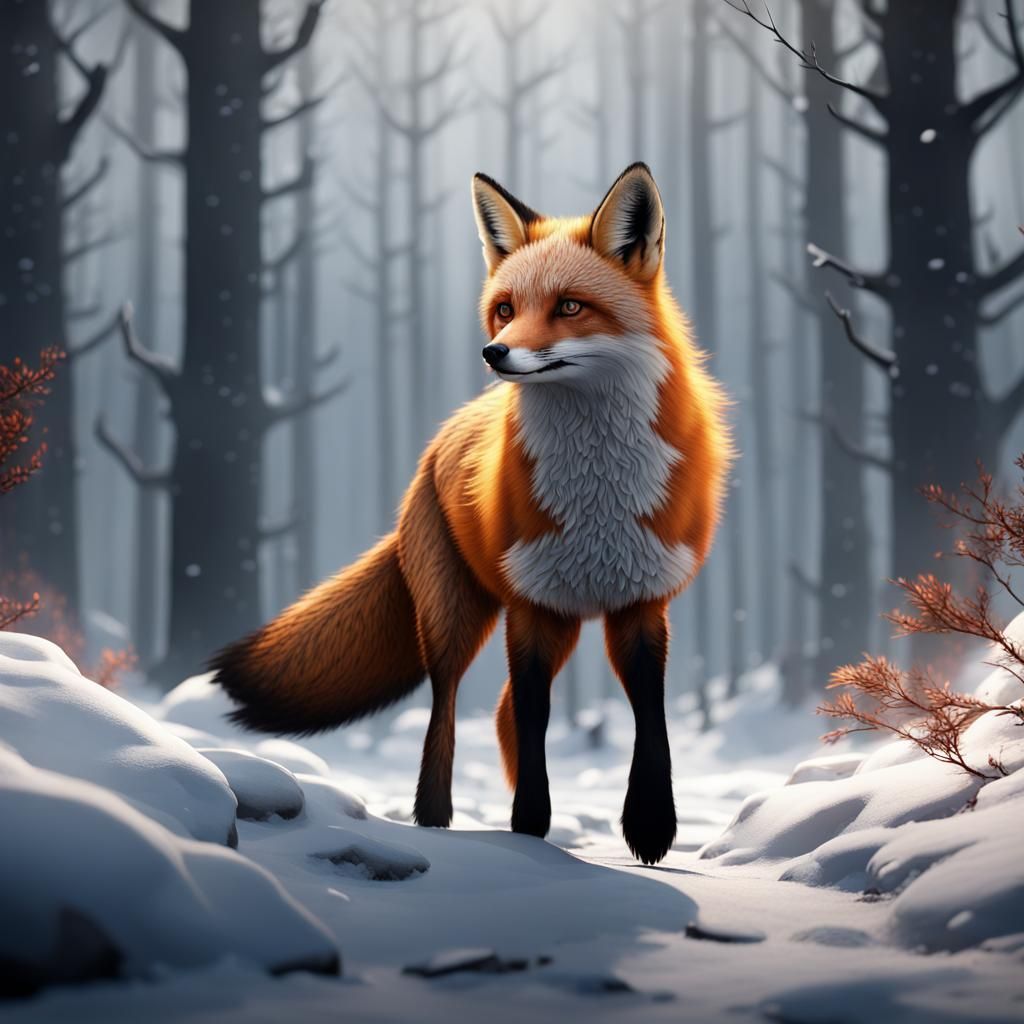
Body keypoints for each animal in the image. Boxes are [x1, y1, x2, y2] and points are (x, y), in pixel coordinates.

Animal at [212, 163, 732, 865]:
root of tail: (441, 435)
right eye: (506, 309)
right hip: (456, 616)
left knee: (500, 709)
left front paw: (650, 826)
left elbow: (649, 717)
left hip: (554, 621)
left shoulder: (642, 601)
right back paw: (435, 821)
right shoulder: (529, 607)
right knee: (449, 707)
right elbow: (535, 719)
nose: (495, 352)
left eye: (570, 306)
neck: (597, 496)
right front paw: (530, 827)